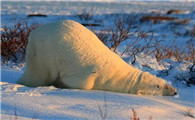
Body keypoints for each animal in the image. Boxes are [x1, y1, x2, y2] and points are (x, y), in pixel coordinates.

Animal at [17, 20, 177, 96]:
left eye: (163, 81)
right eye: (158, 86)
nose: (175, 91)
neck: (118, 76)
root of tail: (33, 33)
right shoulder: (94, 72)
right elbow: (82, 82)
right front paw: (62, 83)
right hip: (44, 51)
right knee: (39, 73)